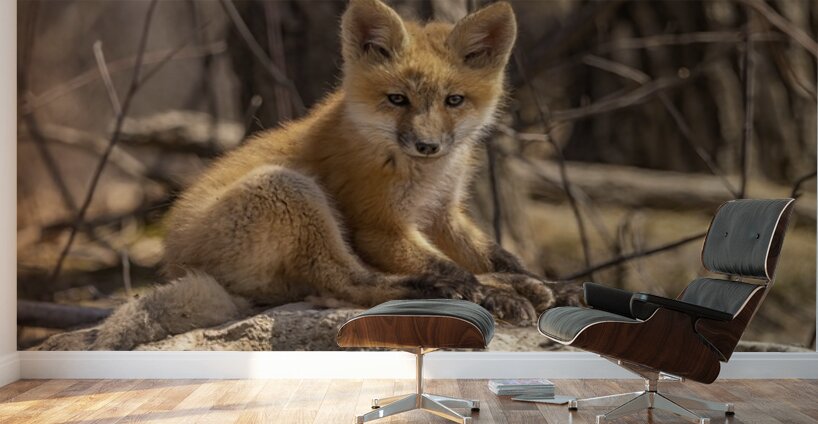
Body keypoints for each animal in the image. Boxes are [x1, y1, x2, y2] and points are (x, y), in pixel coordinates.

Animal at [47, 0, 563, 351]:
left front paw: (537, 282)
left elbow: (495, 255)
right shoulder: (378, 226)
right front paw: (489, 294)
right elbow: (453, 268)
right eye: (397, 100)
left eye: (454, 100)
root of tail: (177, 266)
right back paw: (442, 291)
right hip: (291, 193)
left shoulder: (443, 214)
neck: (423, 174)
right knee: (349, 286)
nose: (428, 145)